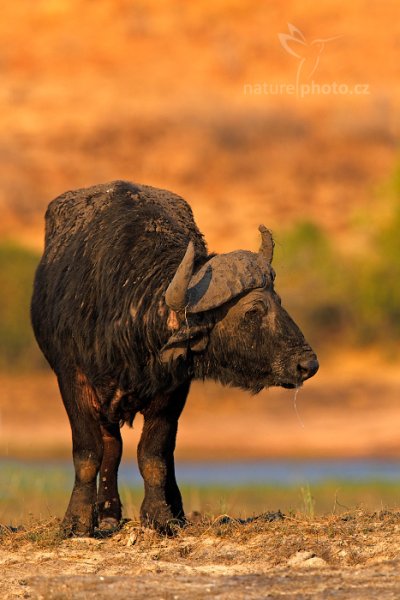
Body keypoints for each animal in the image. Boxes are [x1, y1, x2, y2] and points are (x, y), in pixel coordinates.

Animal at [31, 180, 318, 536]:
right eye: (253, 310)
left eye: (278, 301)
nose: (307, 364)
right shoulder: (73, 379)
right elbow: (88, 452)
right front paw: (78, 521)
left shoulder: (174, 387)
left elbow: (154, 453)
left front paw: (161, 516)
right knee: (111, 445)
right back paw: (108, 514)